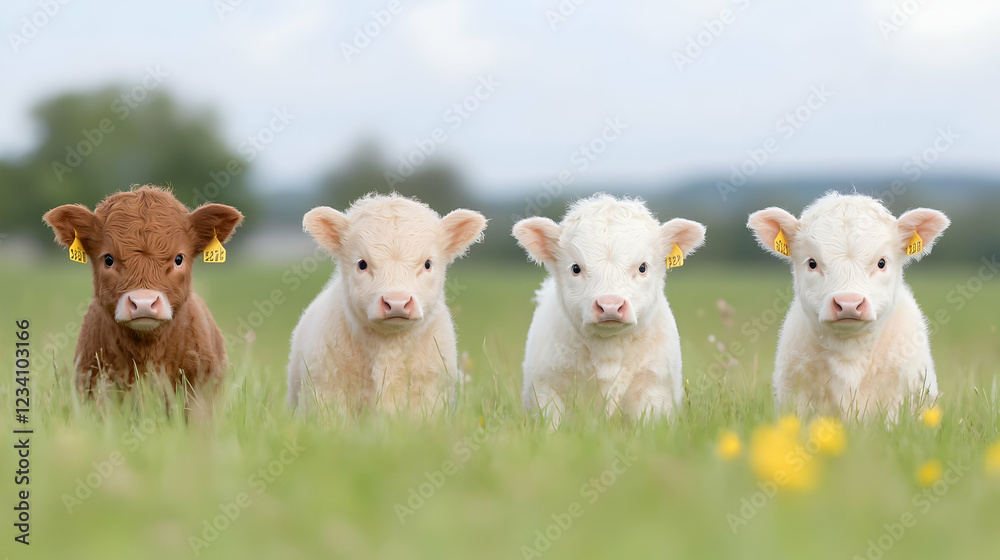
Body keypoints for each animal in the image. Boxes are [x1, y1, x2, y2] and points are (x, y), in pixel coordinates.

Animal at [286, 194, 487, 415]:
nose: (397, 302)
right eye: (362, 264)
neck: (388, 348)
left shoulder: (431, 396)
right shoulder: (326, 393)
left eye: (427, 264)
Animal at [513, 194, 706, 426]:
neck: (608, 354)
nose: (610, 305)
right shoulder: (547, 390)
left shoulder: (654, 389)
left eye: (642, 267)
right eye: (576, 268)